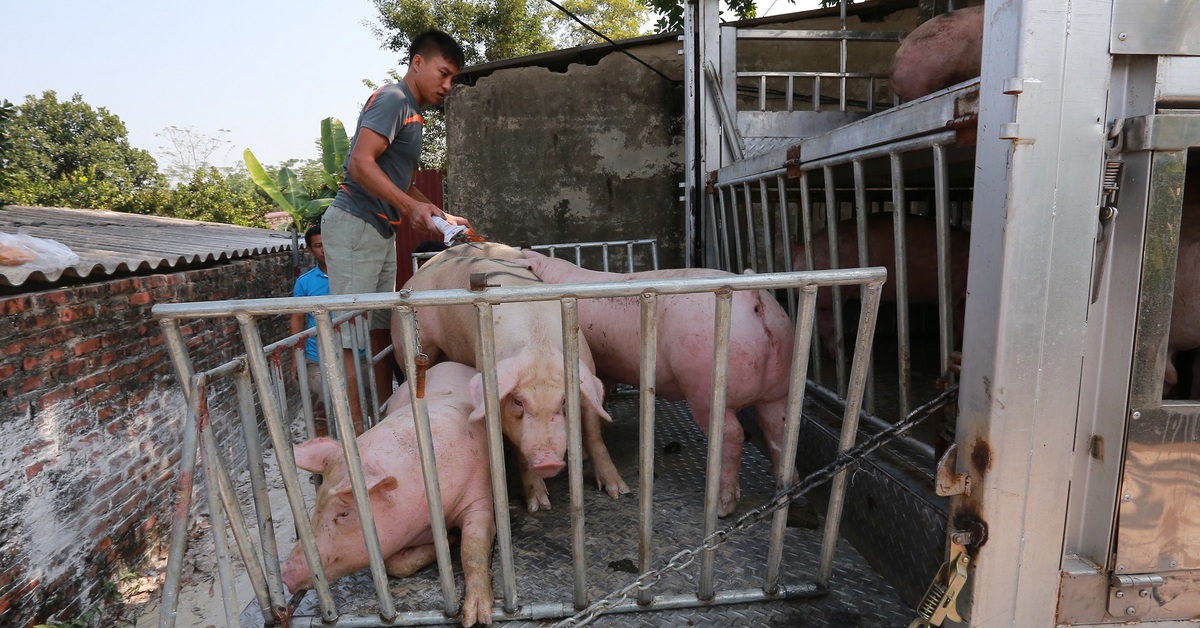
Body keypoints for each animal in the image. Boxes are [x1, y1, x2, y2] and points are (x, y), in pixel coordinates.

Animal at [279, 360, 492, 624]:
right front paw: (449, 539)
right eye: (317, 503)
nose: (284, 573)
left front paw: (476, 617)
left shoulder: (479, 493)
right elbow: (393, 565)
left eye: (344, 513)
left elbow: (473, 547)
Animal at [398, 243, 633, 513]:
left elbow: (595, 434)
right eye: (519, 401)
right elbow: (519, 448)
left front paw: (619, 491)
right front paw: (539, 506)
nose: (549, 462)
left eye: (564, 401)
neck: (539, 345)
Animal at [516, 248, 796, 518]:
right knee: (780, 430)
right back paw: (788, 490)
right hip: (778, 385)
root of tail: (753, 298)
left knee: (733, 436)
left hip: (706, 388)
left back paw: (721, 508)